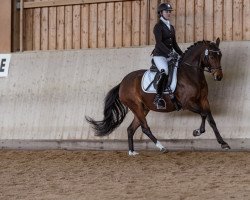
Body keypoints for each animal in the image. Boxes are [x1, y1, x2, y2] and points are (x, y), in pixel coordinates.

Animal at [86, 38, 230, 156]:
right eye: (211, 55)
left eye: (220, 55)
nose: (218, 76)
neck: (191, 74)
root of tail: (122, 83)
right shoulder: (187, 103)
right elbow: (204, 114)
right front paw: (197, 131)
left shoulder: (204, 100)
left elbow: (211, 119)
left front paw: (223, 143)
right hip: (136, 106)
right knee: (145, 128)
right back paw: (161, 147)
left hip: (143, 109)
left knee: (131, 129)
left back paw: (132, 152)